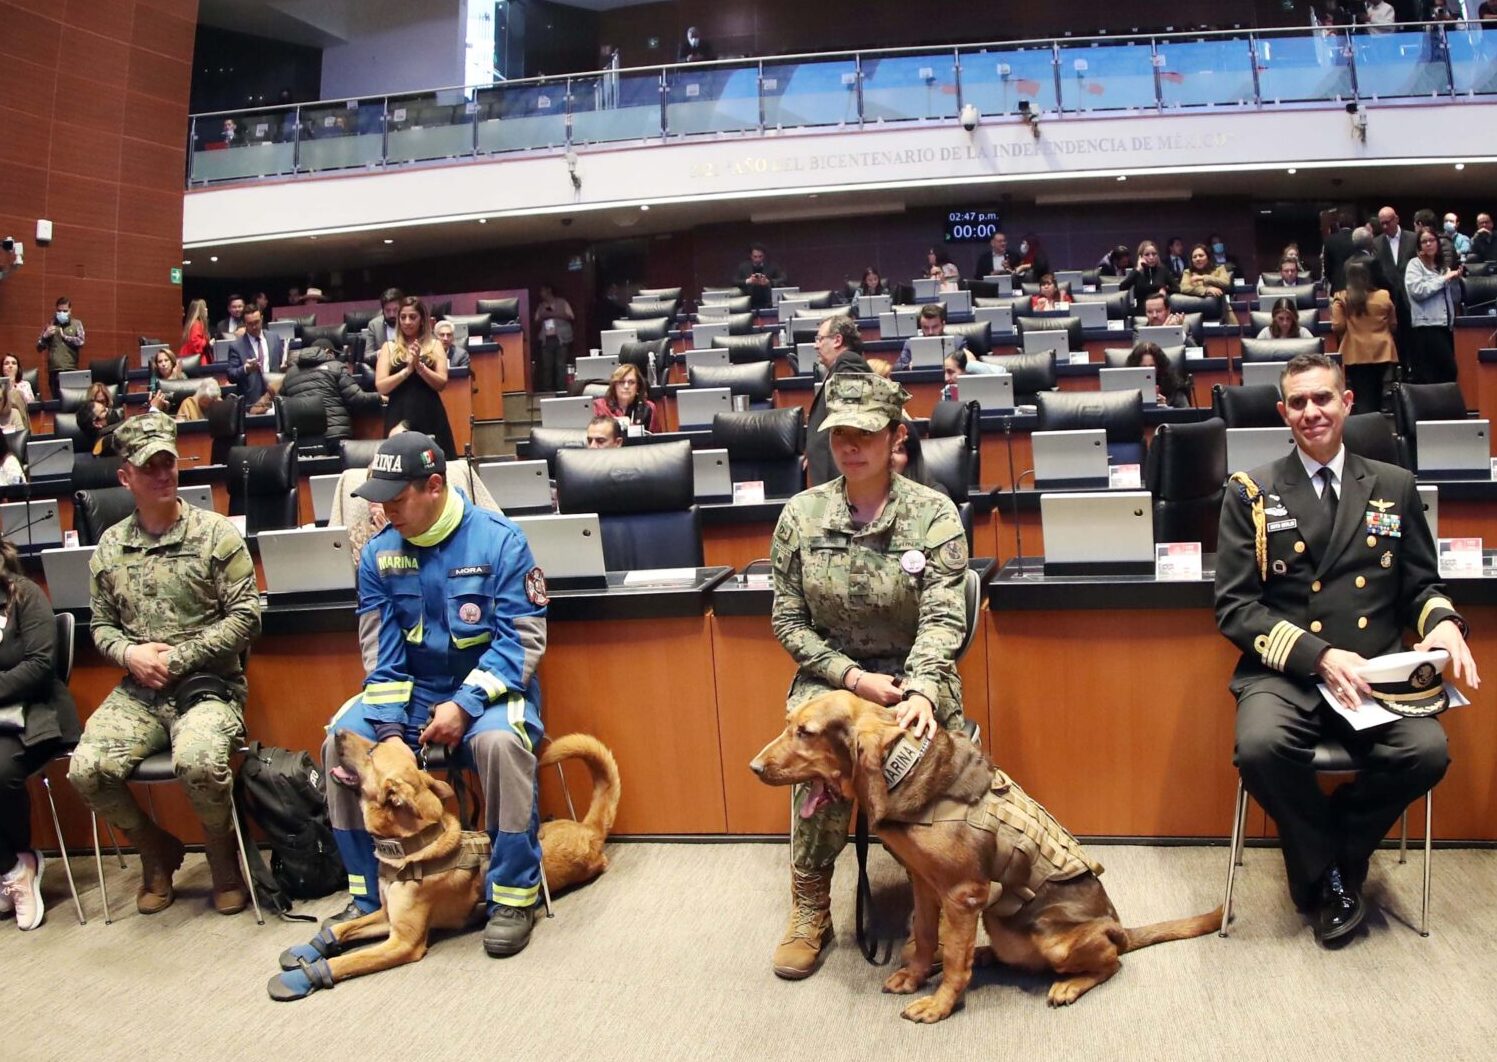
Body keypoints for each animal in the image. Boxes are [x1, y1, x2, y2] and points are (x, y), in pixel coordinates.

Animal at [272, 724, 616, 1000]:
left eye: (372, 750)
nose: (336, 730)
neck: (412, 846)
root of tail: (589, 829)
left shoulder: (403, 942)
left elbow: (347, 960)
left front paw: (300, 977)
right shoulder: (388, 916)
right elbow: (342, 929)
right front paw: (308, 949)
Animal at [748, 692, 1215, 1024]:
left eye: (806, 732)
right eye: (789, 725)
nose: (753, 767)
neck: (903, 767)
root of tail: (1119, 928)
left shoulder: (963, 894)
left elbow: (955, 959)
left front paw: (938, 1006)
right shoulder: (925, 884)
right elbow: (926, 938)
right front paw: (916, 978)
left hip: (1056, 939)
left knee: (1111, 962)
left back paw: (1068, 984)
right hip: (999, 922)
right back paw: (988, 955)